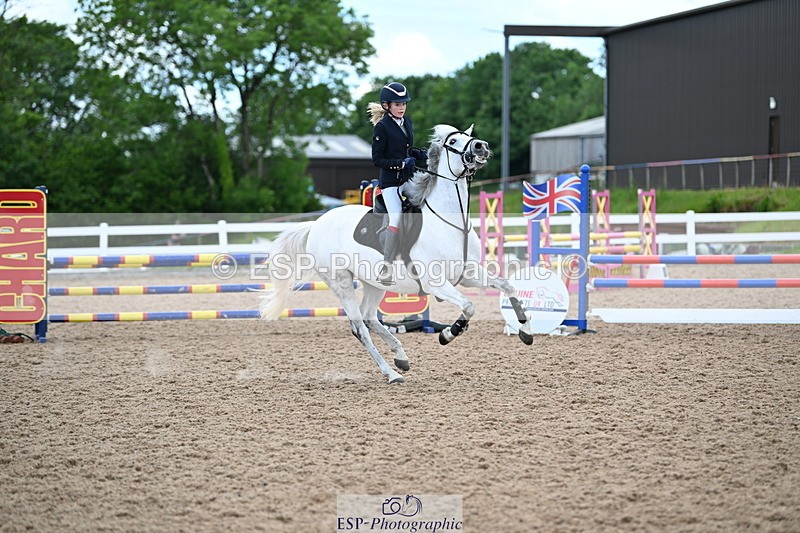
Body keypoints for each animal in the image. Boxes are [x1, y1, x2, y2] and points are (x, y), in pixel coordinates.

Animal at [260, 124, 533, 383]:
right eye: (454, 140)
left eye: (468, 136)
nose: (481, 146)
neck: (449, 223)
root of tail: (316, 223)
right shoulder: (436, 283)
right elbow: (469, 305)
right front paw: (448, 333)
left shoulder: (468, 274)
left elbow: (506, 286)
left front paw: (526, 331)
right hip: (340, 282)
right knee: (360, 328)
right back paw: (391, 373)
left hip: (374, 283)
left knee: (370, 317)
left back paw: (401, 357)